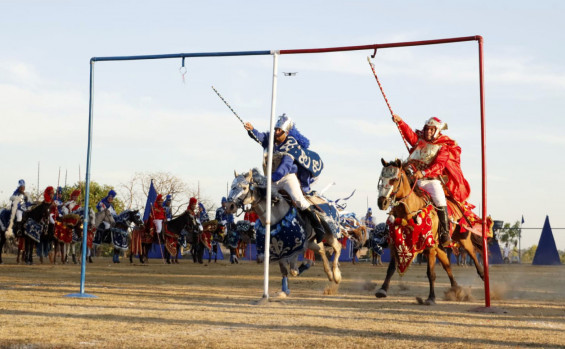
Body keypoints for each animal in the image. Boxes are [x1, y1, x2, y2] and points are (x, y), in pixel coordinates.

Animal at [374, 159, 490, 304]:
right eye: (381, 179)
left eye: (394, 179)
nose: (382, 202)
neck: (410, 212)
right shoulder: (396, 244)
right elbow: (390, 268)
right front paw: (382, 290)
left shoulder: (429, 247)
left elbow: (431, 273)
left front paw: (431, 298)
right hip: (439, 246)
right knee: (447, 265)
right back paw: (456, 289)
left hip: (463, 241)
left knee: (473, 256)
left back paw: (483, 279)